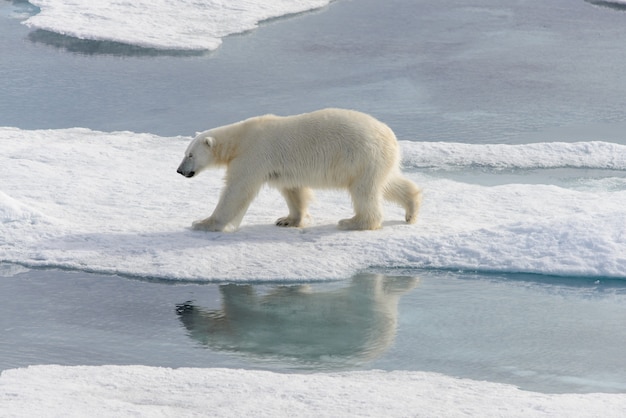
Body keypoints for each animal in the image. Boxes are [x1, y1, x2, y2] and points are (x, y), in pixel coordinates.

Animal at [176, 108, 420, 232]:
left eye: (190, 155)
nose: (179, 171)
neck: (240, 139)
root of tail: (390, 136)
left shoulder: (253, 155)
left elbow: (236, 191)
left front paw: (204, 223)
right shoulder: (281, 168)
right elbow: (293, 190)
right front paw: (288, 220)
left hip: (362, 156)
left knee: (364, 191)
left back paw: (353, 222)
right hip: (376, 161)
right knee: (387, 183)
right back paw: (411, 209)